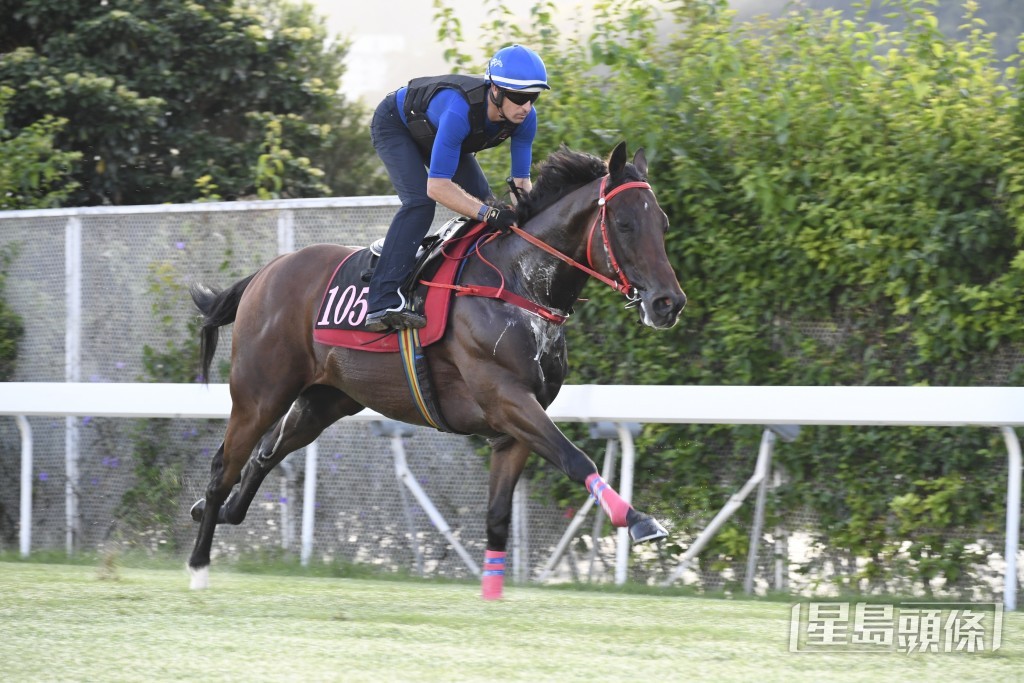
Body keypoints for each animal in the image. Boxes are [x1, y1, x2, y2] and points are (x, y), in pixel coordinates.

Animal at [186, 141, 687, 598]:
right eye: (624, 223)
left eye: (662, 223)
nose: (669, 302)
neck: (519, 283)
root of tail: (265, 272)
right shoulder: (507, 399)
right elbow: (575, 457)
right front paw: (639, 520)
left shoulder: (513, 428)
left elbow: (498, 516)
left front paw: (492, 596)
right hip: (260, 394)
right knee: (223, 467)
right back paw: (198, 564)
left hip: (324, 401)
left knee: (265, 454)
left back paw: (216, 511)